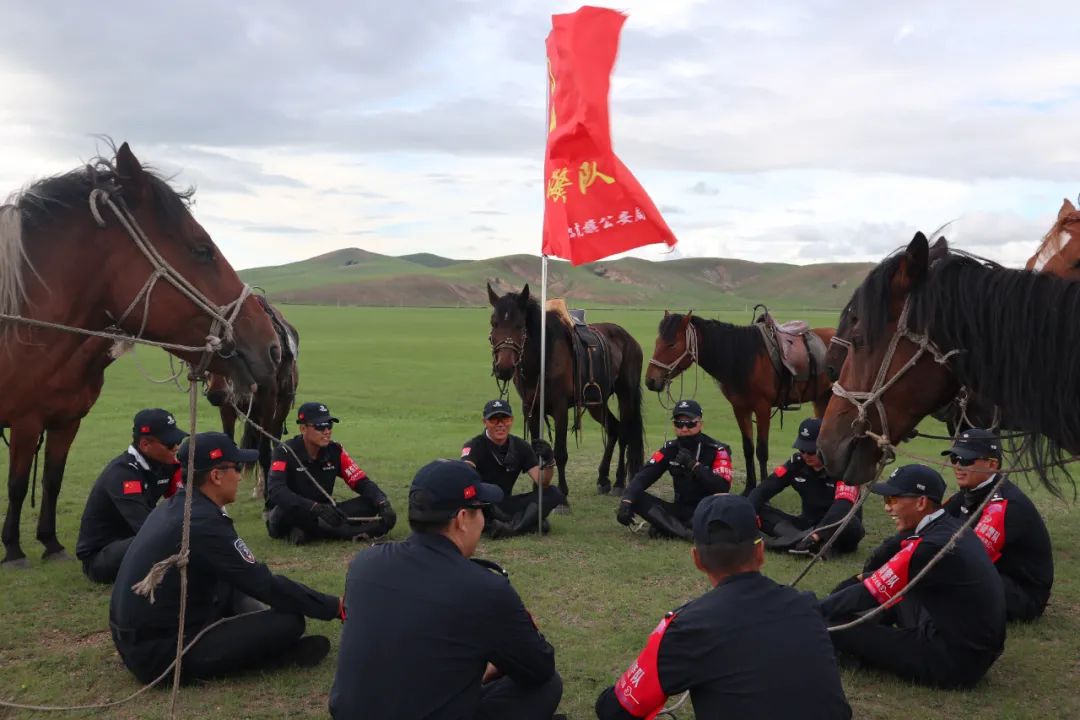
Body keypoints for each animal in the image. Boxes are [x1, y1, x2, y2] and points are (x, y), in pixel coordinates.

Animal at [0, 142, 282, 569]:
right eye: (201, 250)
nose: (272, 346)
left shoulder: (66, 421)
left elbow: (52, 478)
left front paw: (50, 542)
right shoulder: (27, 421)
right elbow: (18, 485)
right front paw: (14, 549)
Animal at [206, 295, 302, 487]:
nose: (216, 394)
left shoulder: (267, 404)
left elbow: (265, 453)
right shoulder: (227, 408)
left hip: (283, 404)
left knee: (274, 437)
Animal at [488, 282, 643, 500]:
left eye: (520, 325)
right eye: (494, 323)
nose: (503, 367)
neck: (543, 356)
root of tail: (629, 338)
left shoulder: (560, 407)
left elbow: (560, 452)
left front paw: (562, 495)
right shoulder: (530, 408)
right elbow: (536, 452)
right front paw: (537, 490)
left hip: (626, 395)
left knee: (625, 433)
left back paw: (619, 482)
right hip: (597, 402)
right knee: (614, 429)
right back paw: (603, 479)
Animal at [643, 313, 829, 492]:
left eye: (672, 344)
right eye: (657, 342)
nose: (651, 380)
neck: (744, 359)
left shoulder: (762, 407)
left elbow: (762, 451)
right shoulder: (740, 408)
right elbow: (748, 448)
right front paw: (749, 487)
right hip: (822, 400)